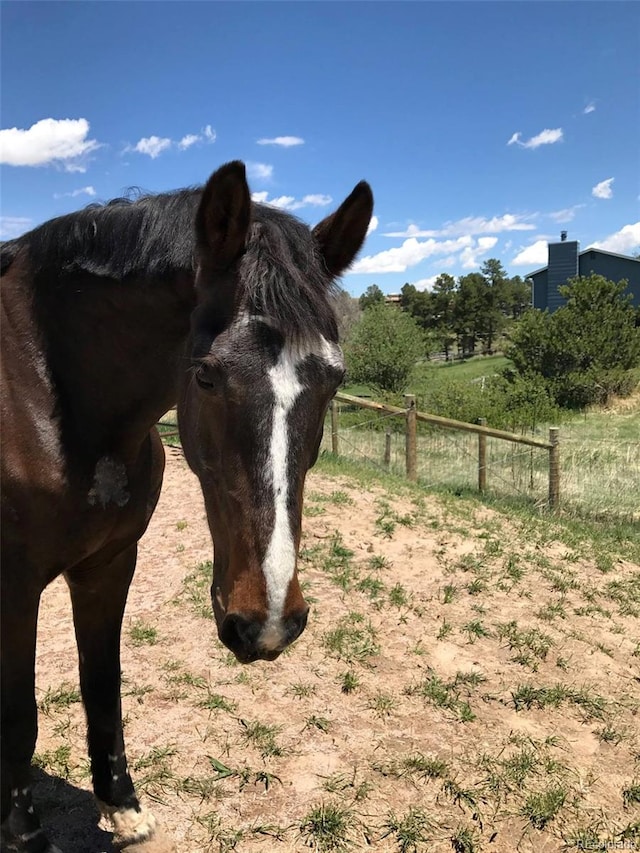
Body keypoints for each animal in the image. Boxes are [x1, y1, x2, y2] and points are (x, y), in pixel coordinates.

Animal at [0, 161, 372, 852]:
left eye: (333, 381)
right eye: (205, 375)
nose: (267, 622)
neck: (44, 396)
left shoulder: (109, 566)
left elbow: (102, 683)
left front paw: (122, 808)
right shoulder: (12, 589)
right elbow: (18, 717)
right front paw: (27, 837)